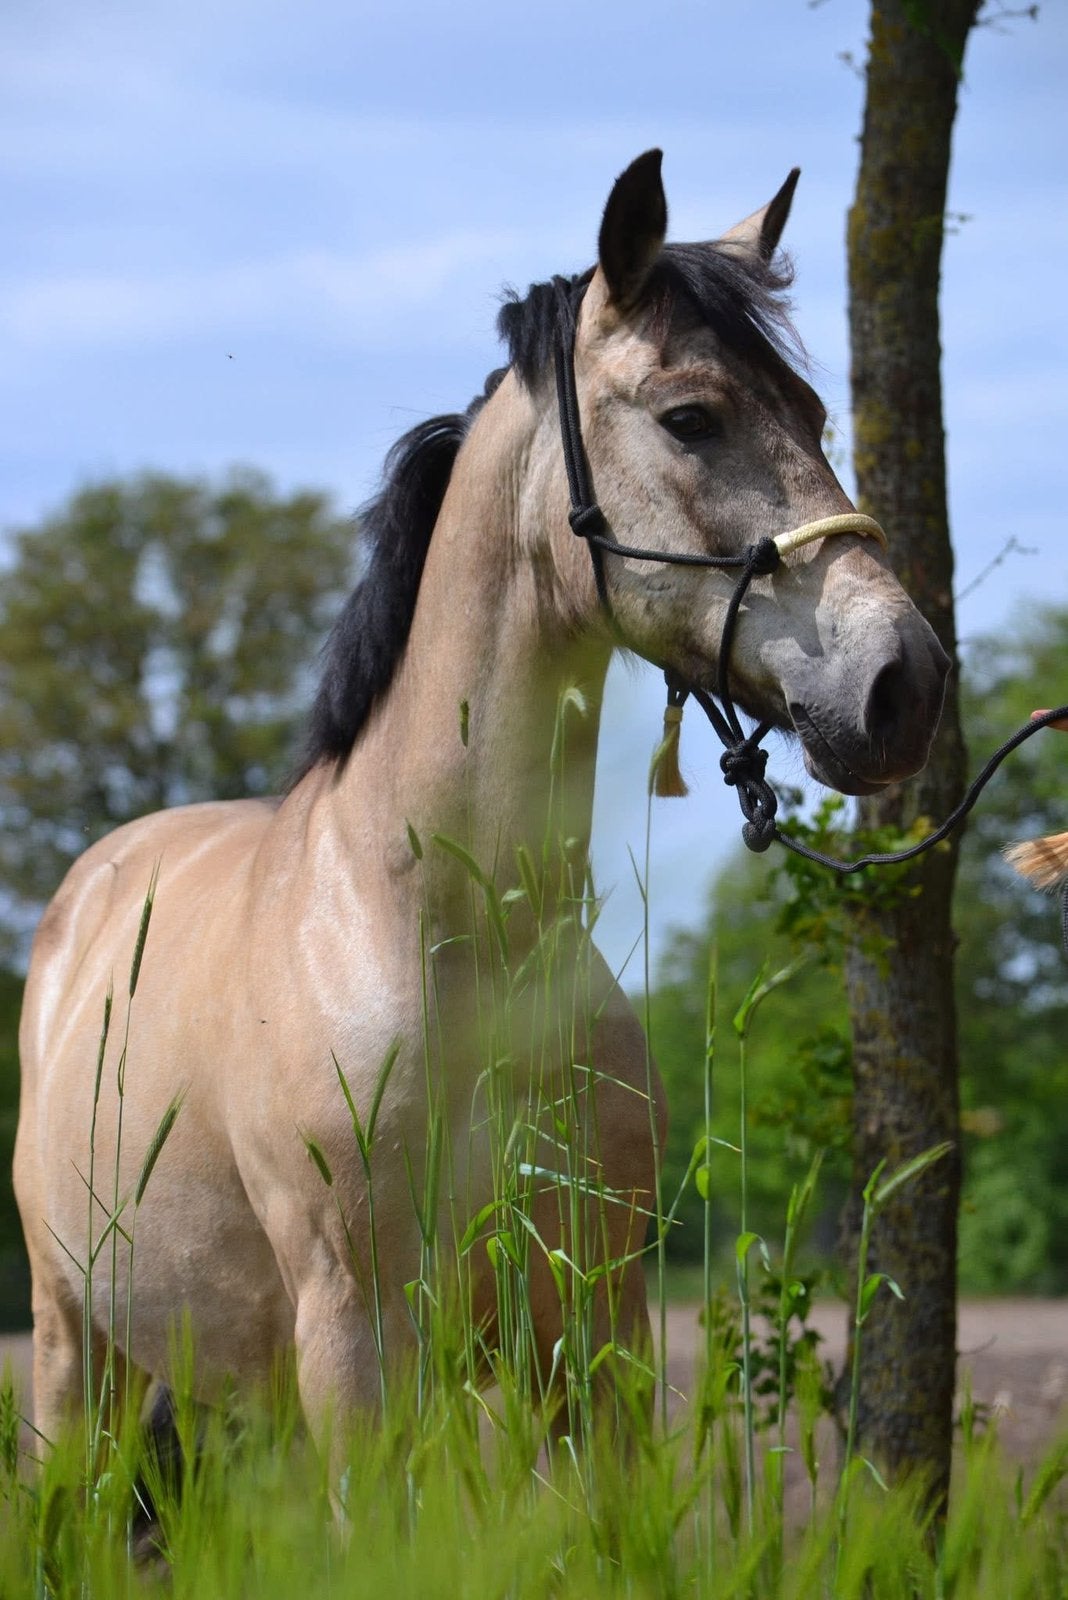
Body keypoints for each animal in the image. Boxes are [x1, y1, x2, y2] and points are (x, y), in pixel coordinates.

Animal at [15, 151, 950, 1460]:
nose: (902, 681)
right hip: (72, 1361)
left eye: (816, 416)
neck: (438, 931)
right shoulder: (356, 1347)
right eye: (692, 417)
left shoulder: (596, 1331)